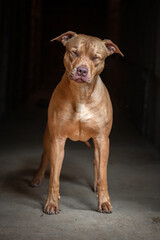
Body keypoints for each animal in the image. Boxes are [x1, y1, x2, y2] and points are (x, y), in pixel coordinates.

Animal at [30, 31, 123, 214]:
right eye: (74, 52)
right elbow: (55, 178)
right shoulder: (58, 140)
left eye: (96, 57)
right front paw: (51, 203)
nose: (82, 70)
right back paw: (37, 178)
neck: (81, 94)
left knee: (96, 162)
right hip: (48, 137)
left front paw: (104, 201)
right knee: (45, 155)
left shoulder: (102, 140)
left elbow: (103, 175)